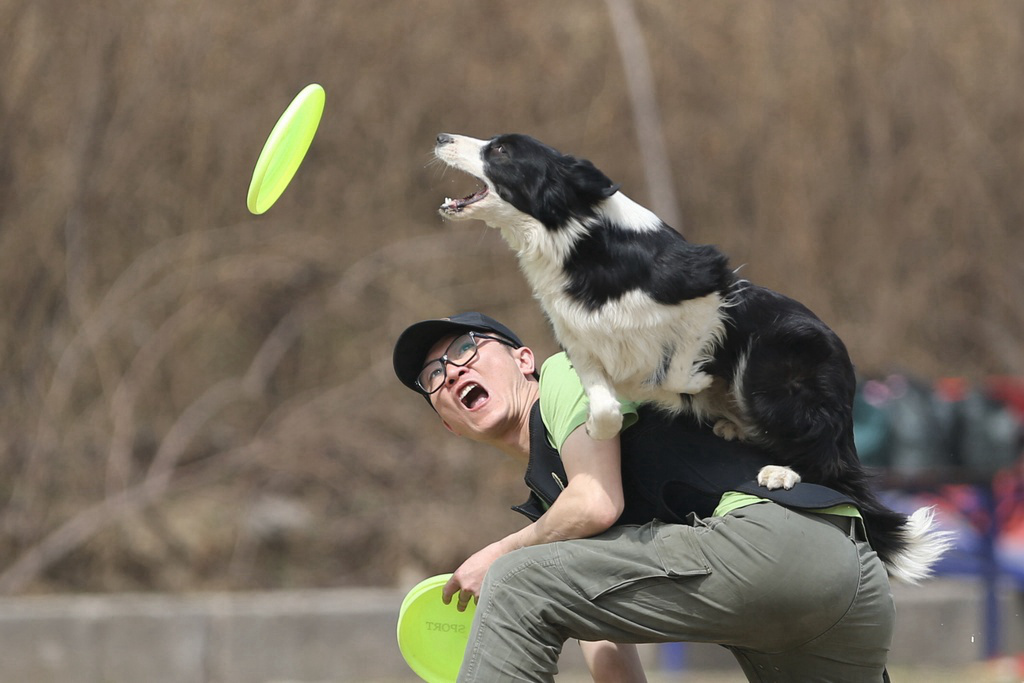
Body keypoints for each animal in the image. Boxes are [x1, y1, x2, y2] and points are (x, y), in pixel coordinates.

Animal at [432, 131, 950, 581]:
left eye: (501, 149)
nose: (440, 137)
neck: (574, 237)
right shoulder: (577, 336)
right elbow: (604, 405)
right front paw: (609, 423)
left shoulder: (711, 287)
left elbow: (677, 365)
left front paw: (679, 385)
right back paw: (730, 427)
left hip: (772, 372)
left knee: (824, 457)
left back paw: (781, 470)